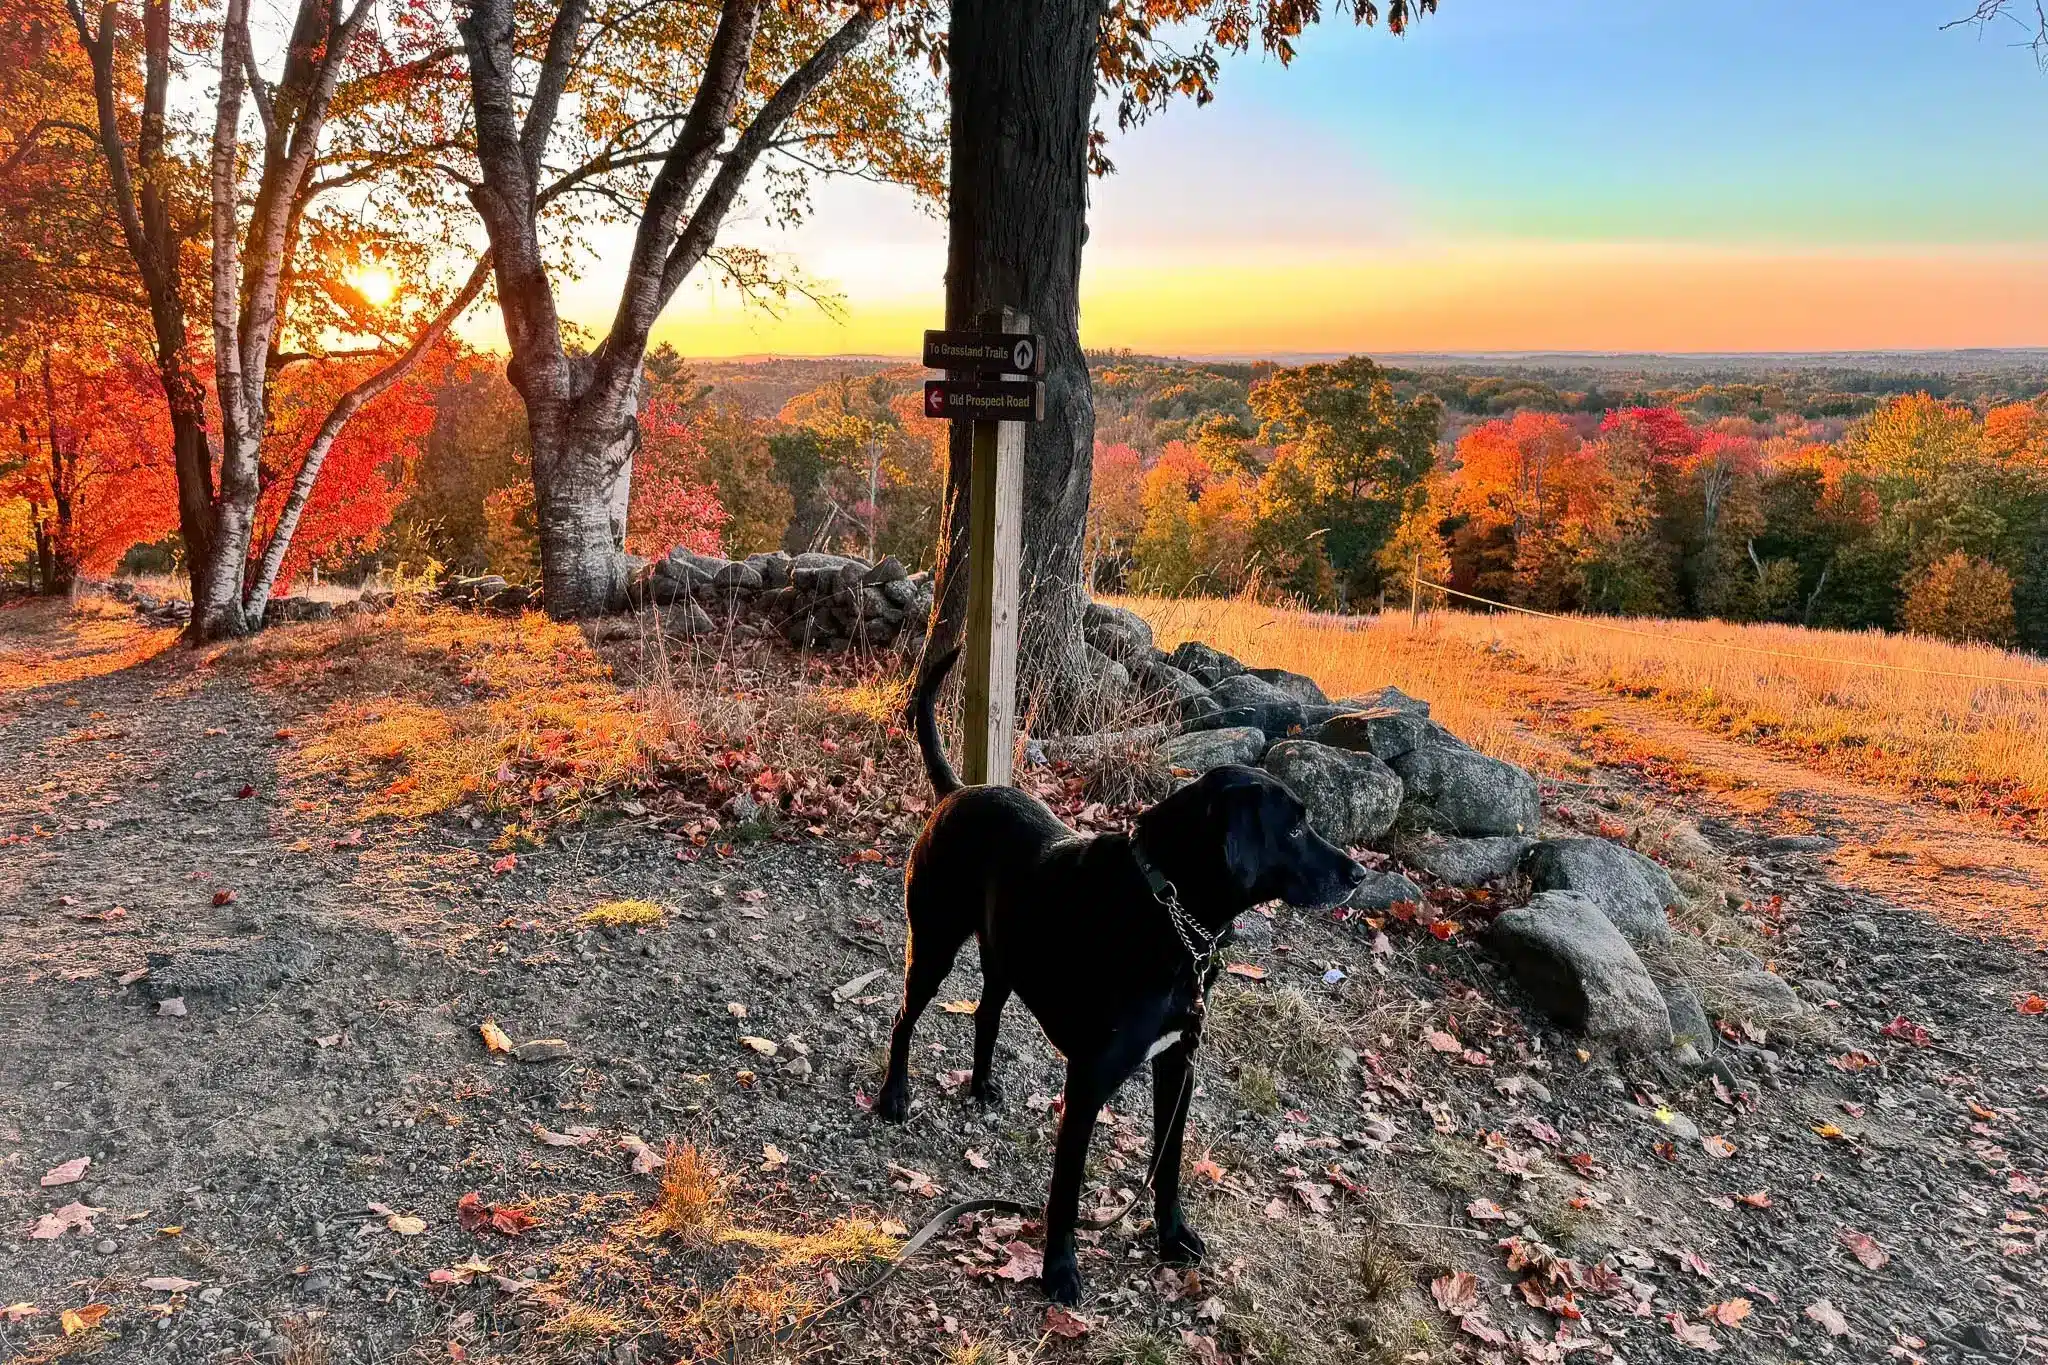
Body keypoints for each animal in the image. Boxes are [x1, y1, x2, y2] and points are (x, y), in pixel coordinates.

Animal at [876, 650, 1368, 1301]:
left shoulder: (1177, 1065)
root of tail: (958, 793)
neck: (1167, 907)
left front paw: (1172, 1237)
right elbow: (1065, 1191)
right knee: (904, 1018)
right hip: (932, 947)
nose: (1359, 874)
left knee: (985, 1014)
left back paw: (981, 1085)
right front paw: (1059, 1270)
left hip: (1005, 958)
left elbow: (1168, 1164)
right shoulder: (1088, 1082)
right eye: (1292, 829)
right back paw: (894, 1095)